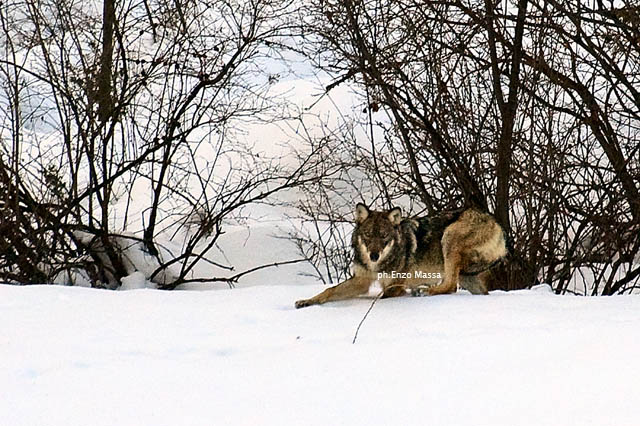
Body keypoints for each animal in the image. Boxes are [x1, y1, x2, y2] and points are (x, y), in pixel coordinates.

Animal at [296, 204, 510, 308]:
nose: (374, 255)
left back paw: (424, 291)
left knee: (450, 286)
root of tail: (498, 225)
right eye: (368, 235)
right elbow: (329, 290)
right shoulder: (362, 280)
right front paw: (306, 301)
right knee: (475, 291)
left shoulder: (395, 286)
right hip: (467, 277)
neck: (379, 264)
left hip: (449, 237)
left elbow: (382, 296)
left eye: (384, 236)